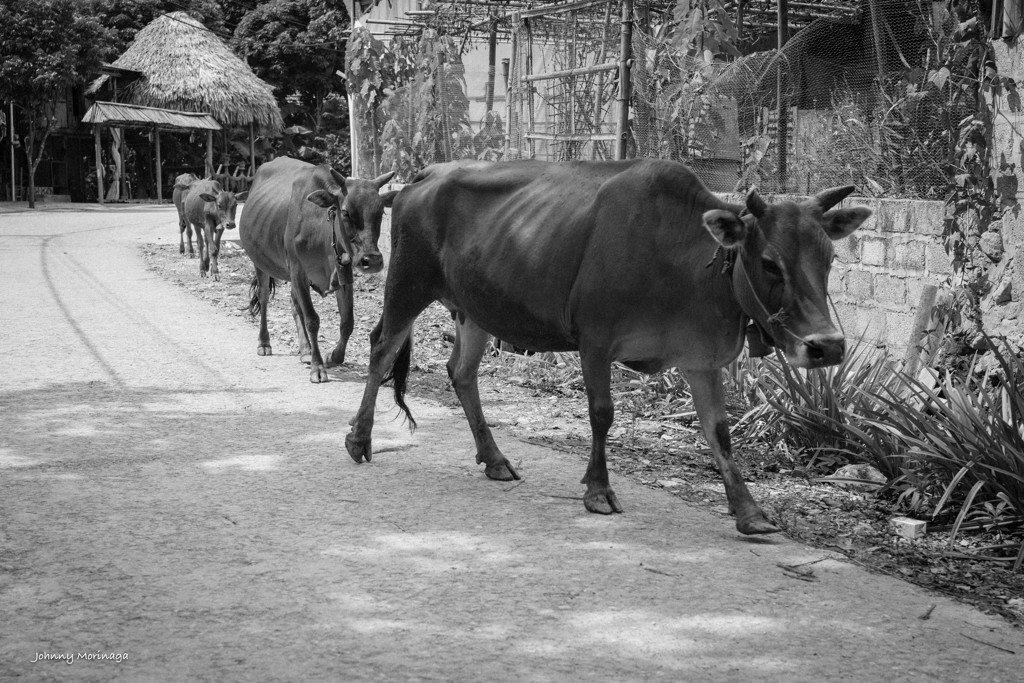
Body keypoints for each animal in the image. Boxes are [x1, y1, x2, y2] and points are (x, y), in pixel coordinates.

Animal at [346, 158, 872, 532]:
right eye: (768, 262)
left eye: (828, 257)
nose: (827, 346)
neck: (683, 261)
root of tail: (426, 173)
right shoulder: (595, 341)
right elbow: (602, 414)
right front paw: (598, 489)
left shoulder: (701, 360)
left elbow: (719, 433)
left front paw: (749, 511)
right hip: (407, 285)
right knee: (381, 350)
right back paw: (359, 439)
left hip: (475, 308)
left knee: (461, 372)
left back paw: (495, 459)